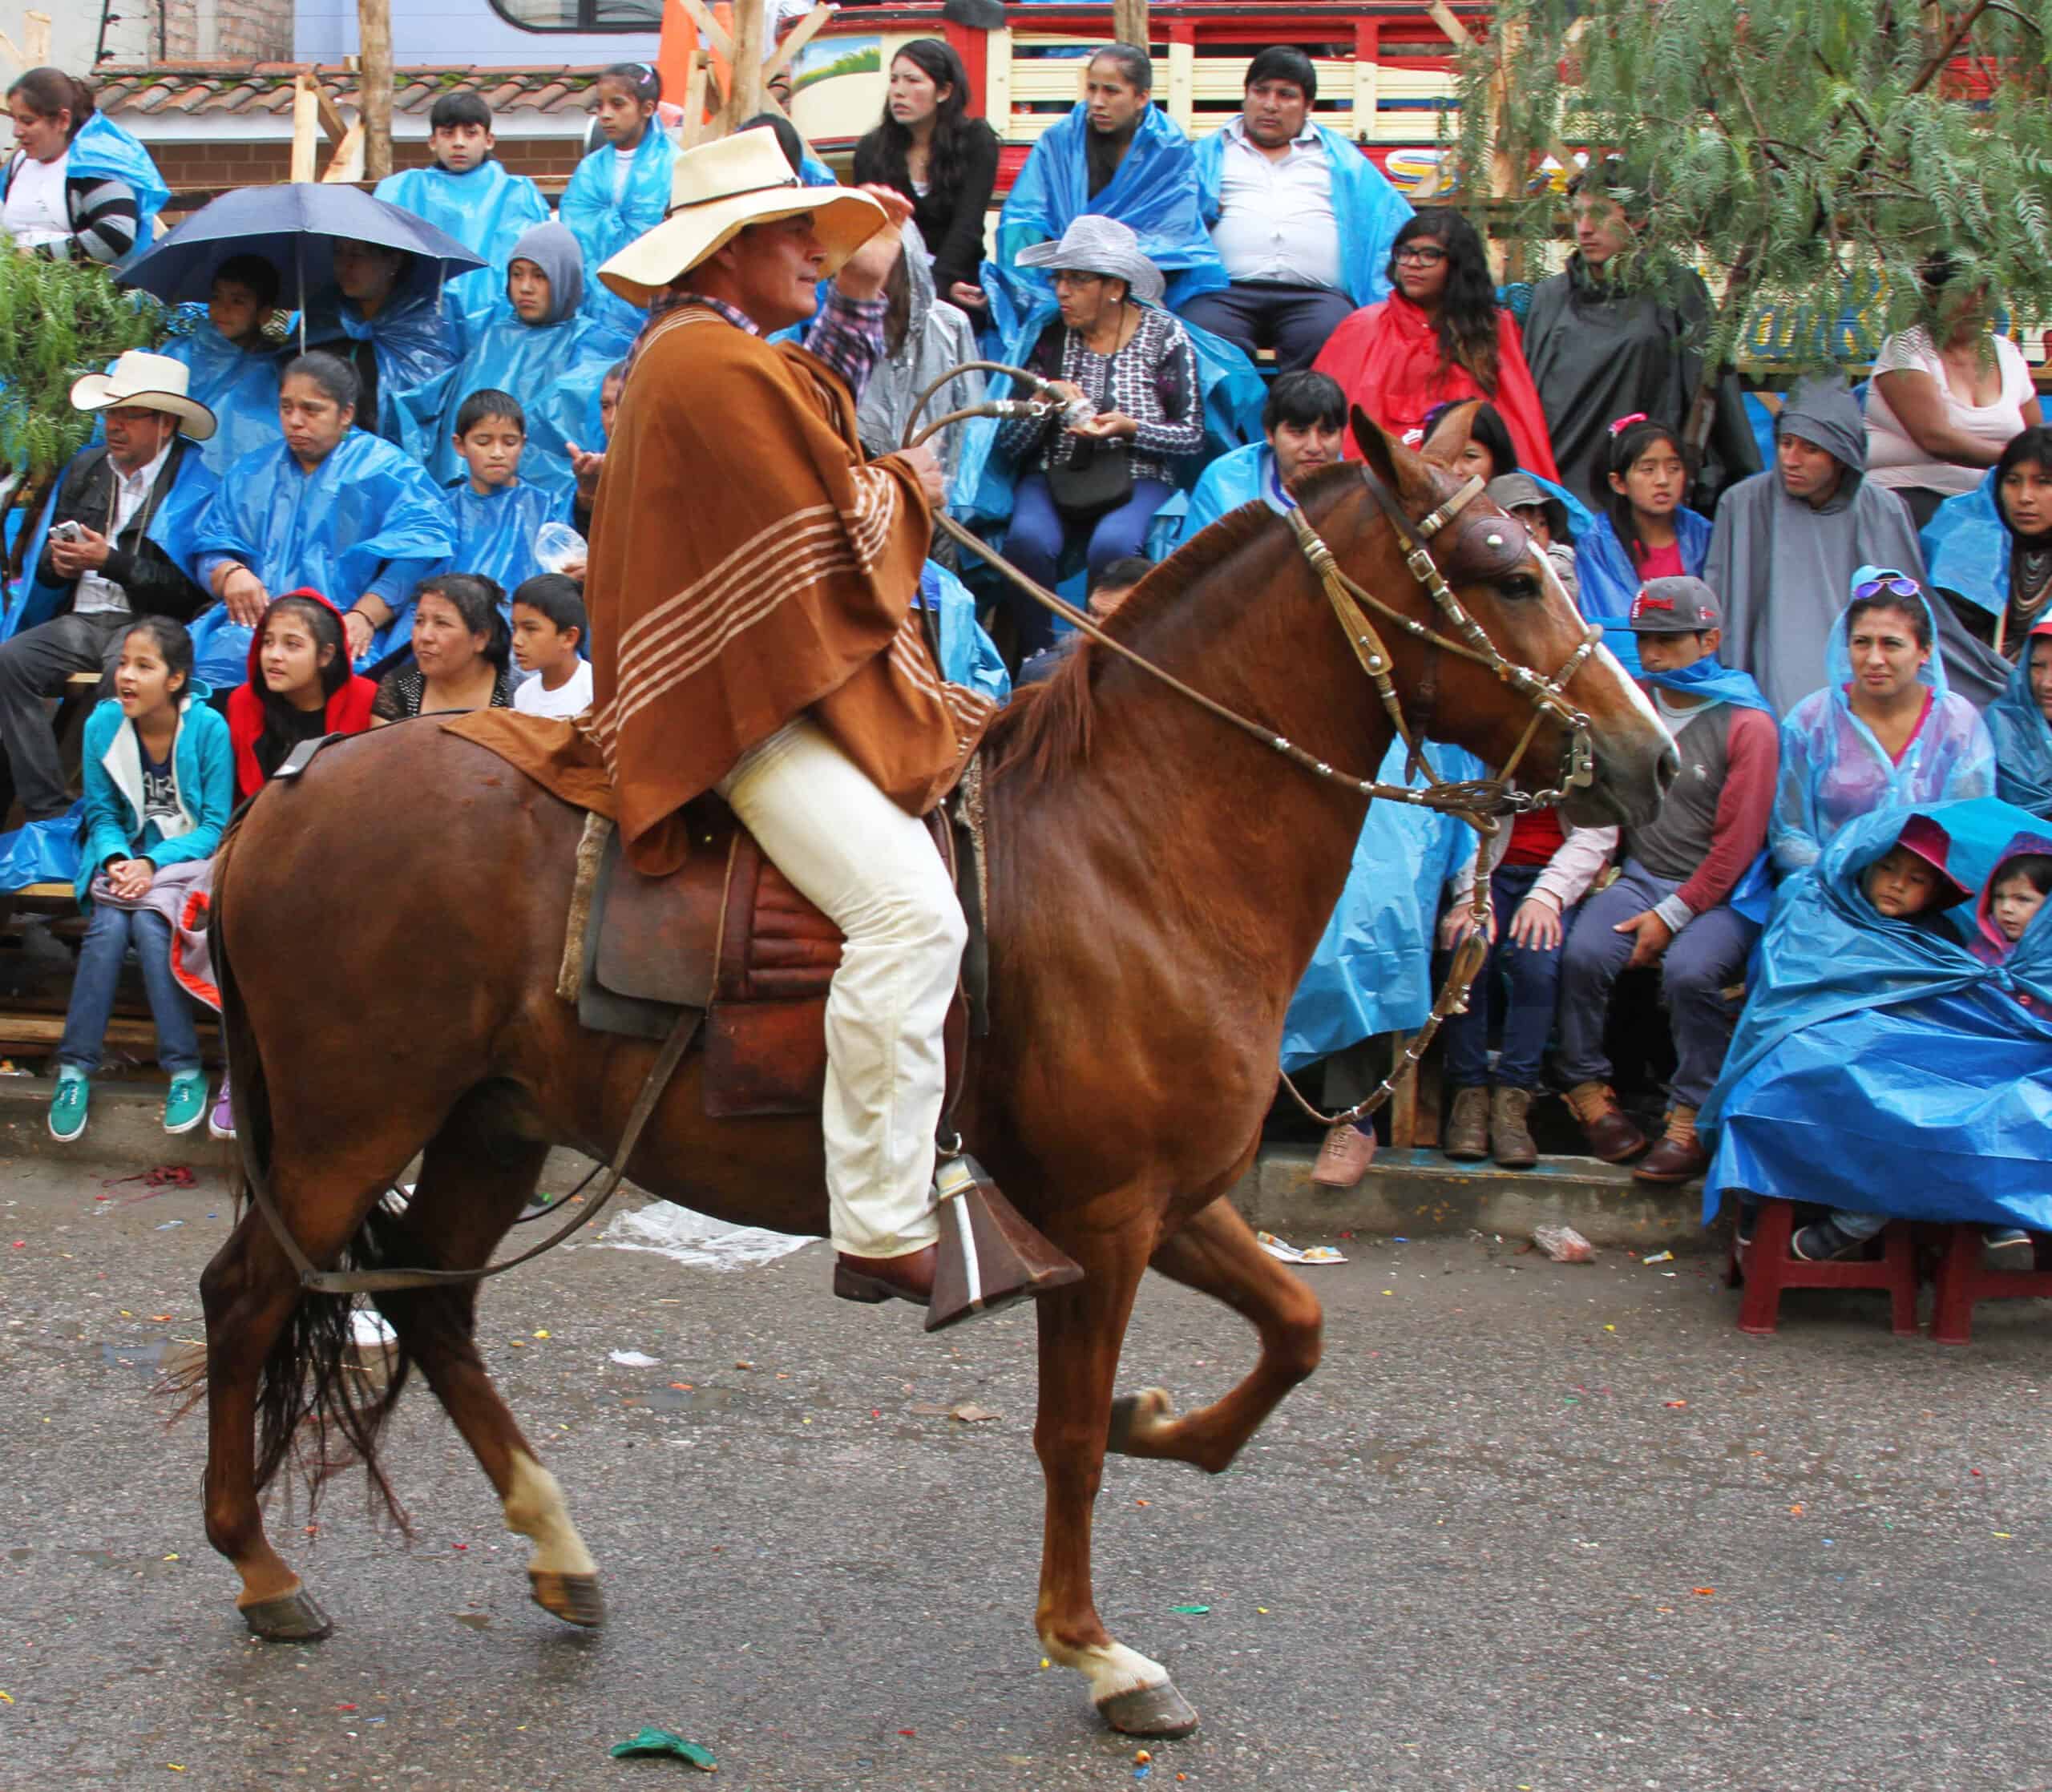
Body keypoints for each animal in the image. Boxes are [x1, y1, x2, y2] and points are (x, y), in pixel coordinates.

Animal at [192, 418, 1674, 1732]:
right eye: (1508, 575)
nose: (1656, 758)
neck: (1138, 846)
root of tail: (291, 789)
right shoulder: (1105, 1222)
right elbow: (1066, 1438)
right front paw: (1097, 1650)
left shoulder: (1173, 1203)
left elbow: (1294, 1334)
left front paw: (1158, 1422)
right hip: (348, 1122)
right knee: (251, 1296)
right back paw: (261, 1568)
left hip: (490, 1122)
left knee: (436, 1306)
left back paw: (557, 1550)